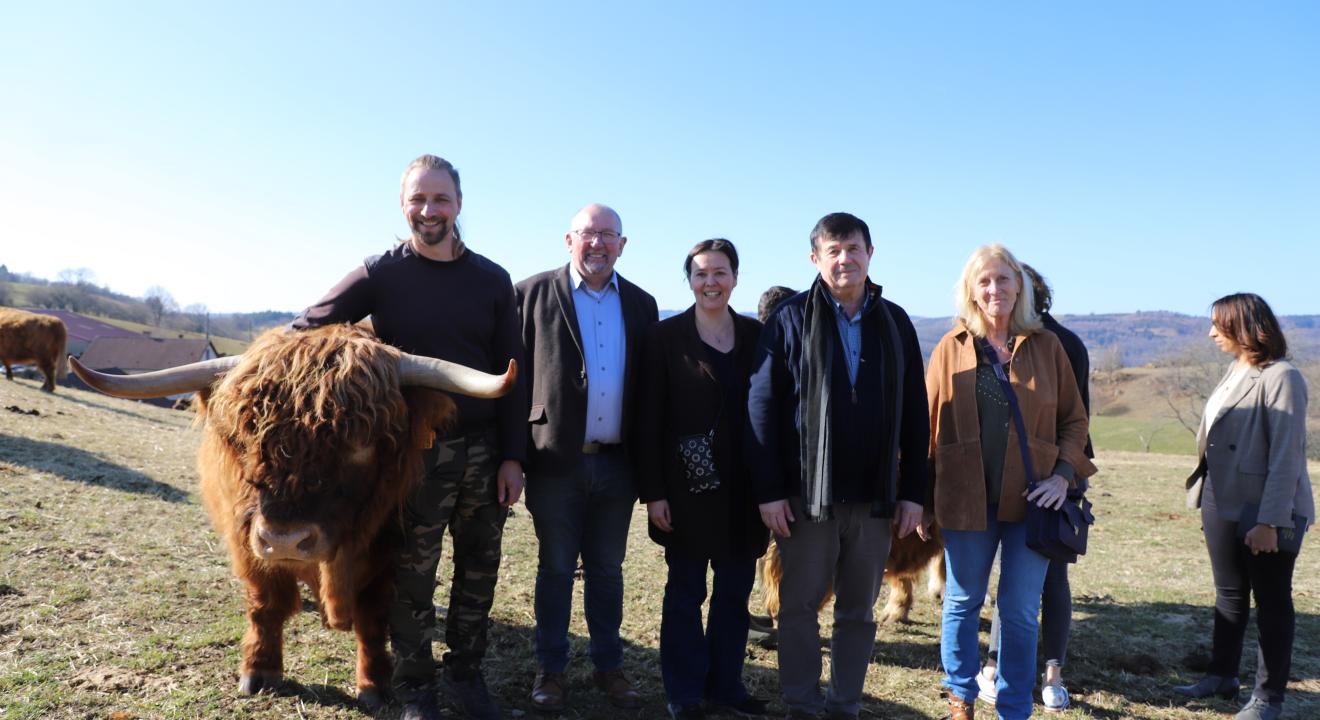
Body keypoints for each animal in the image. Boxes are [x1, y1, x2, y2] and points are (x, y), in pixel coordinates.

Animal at [70, 322, 514, 702]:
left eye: (363, 441)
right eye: (247, 435)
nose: (285, 539)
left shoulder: (391, 550)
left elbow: (373, 619)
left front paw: (374, 684)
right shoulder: (248, 543)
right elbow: (266, 605)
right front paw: (259, 670)